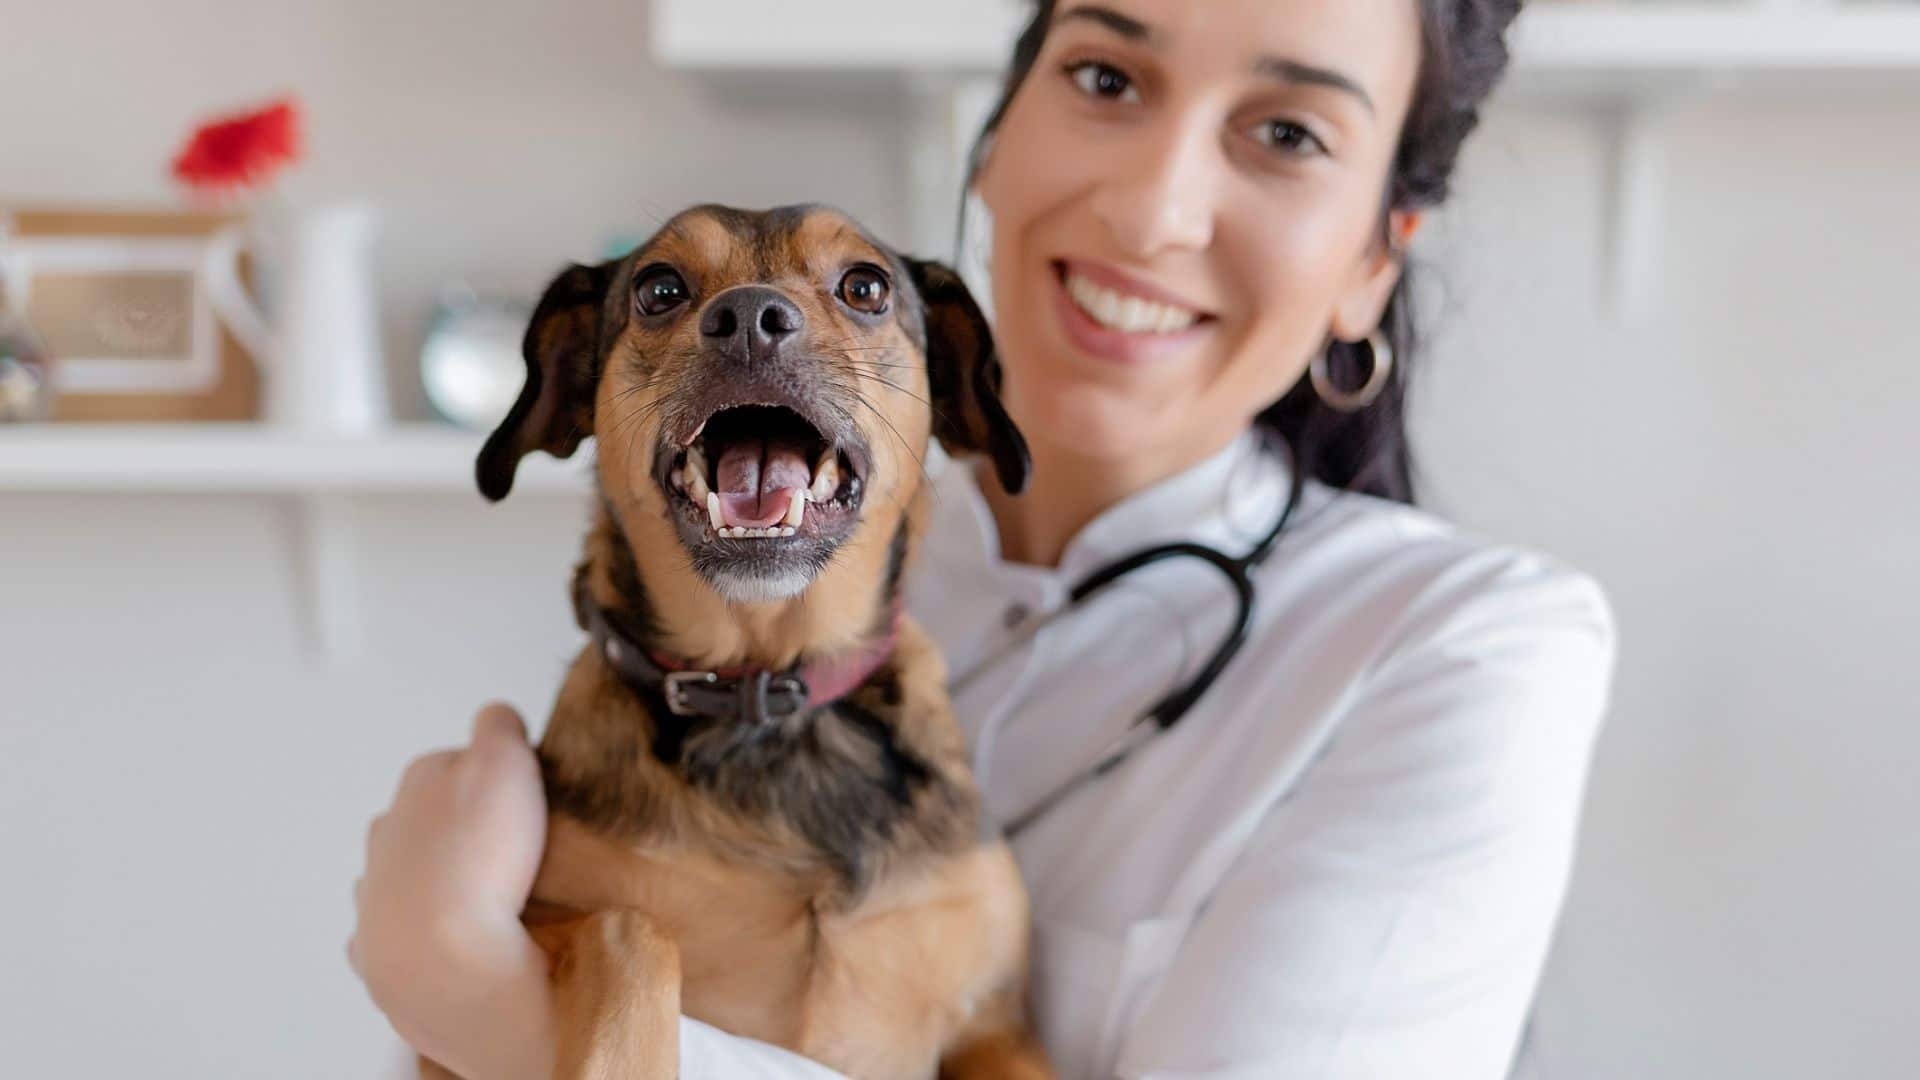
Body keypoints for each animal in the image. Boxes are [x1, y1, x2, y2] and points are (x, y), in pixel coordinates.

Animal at [437, 203, 1059, 1076]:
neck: (768, 685)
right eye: (659, 289)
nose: (751, 319)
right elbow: (630, 929)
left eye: (865, 287)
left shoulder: (999, 1024)